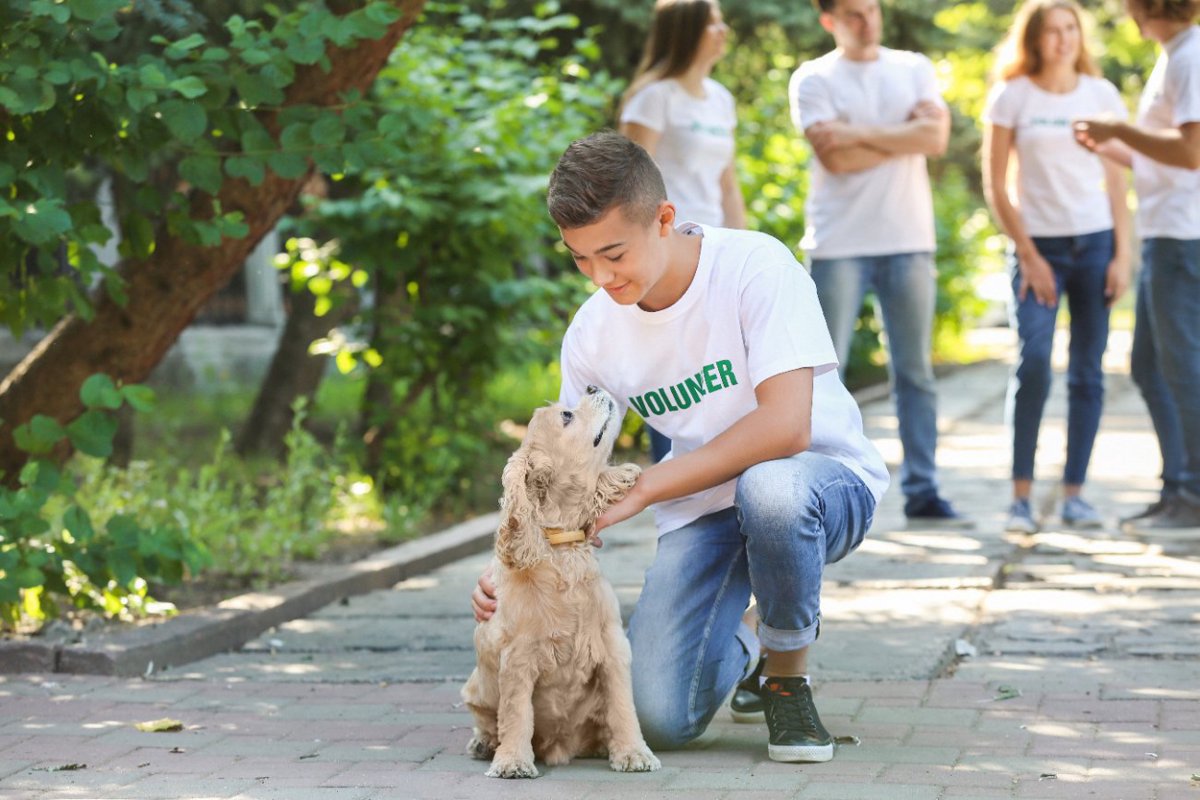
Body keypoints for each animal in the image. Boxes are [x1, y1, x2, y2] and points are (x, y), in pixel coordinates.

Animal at [463, 383, 662, 777]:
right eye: (567, 416)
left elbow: (622, 705)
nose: (593, 386)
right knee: (487, 720)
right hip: (474, 687)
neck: (562, 547)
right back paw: (485, 744)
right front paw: (512, 762)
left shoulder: (613, 645)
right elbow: (516, 713)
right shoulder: (518, 655)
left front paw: (633, 753)